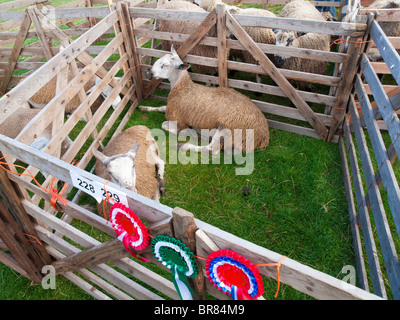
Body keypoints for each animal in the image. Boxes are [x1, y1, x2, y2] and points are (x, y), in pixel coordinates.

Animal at [139, 45, 270, 154]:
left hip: (228, 128)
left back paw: (183, 145)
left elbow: (164, 125)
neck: (182, 87)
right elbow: (161, 107)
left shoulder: (178, 119)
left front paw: (188, 133)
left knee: (212, 150)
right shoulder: (171, 108)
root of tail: (263, 137)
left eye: (165, 65)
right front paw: (144, 107)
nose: (150, 73)